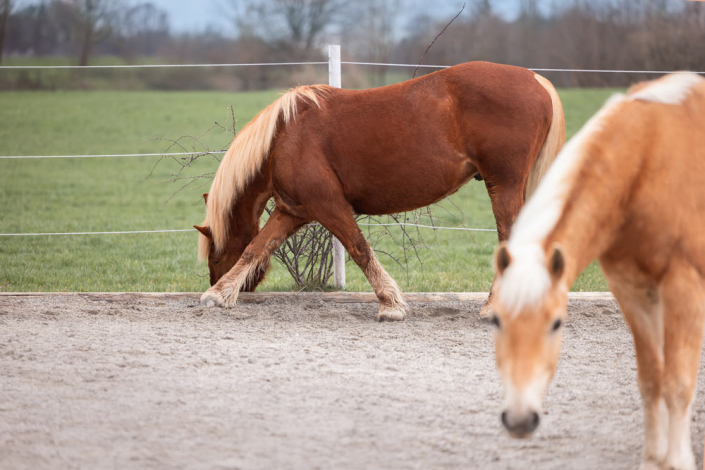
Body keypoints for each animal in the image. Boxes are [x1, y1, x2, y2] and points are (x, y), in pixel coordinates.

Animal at [194, 61, 565, 321]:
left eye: (214, 256)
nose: (212, 279)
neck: (283, 137)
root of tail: (536, 80)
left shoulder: (329, 206)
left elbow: (359, 249)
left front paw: (390, 304)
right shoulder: (292, 211)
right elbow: (255, 248)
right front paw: (219, 294)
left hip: (504, 186)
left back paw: (494, 308)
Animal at [488, 72, 705, 469]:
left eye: (557, 323)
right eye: (496, 320)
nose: (520, 420)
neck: (645, 162)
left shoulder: (684, 288)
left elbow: (679, 382)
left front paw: (678, 460)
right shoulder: (632, 292)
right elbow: (651, 379)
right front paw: (653, 459)